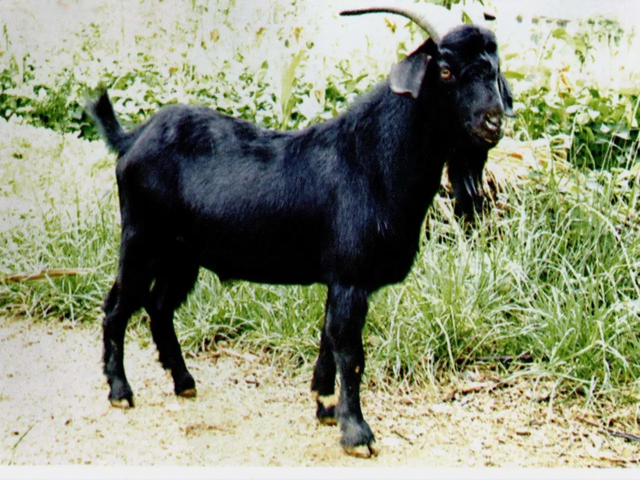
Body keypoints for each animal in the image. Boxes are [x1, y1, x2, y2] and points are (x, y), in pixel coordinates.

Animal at [87, 1, 513, 458]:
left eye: (494, 68)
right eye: (446, 70)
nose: (492, 123)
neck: (371, 160)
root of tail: (131, 138)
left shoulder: (339, 281)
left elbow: (328, 338)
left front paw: (325, 406)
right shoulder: (350, 279)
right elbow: (351, 353)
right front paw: (357, 434)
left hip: (181, 255)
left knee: (159, 306)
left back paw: (183, 382)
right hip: (141, 239)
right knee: (117, 306)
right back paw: (120, 390)